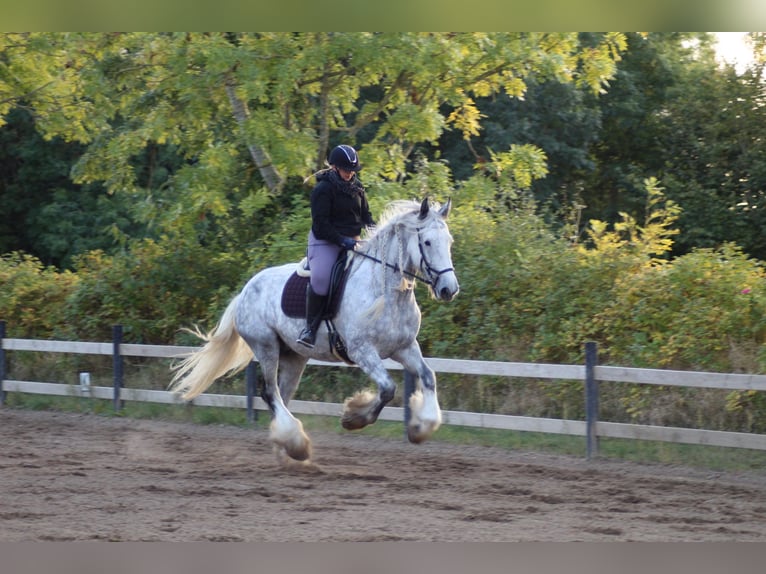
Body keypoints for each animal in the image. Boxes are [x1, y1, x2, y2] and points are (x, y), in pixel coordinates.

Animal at [169, 198, 460, 464]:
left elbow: (428, 377)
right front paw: (353, 418)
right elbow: (388, 388)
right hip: (266, 347)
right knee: (271, 392)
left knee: (281, 396)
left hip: (294, 357)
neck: (385, 291)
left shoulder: (404, 347)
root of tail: (245, 291)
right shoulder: (362, 350)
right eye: (427, 242)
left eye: (449, 241)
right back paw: (296, 444)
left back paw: (284, 449)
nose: (449, 289)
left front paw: (420, 428)